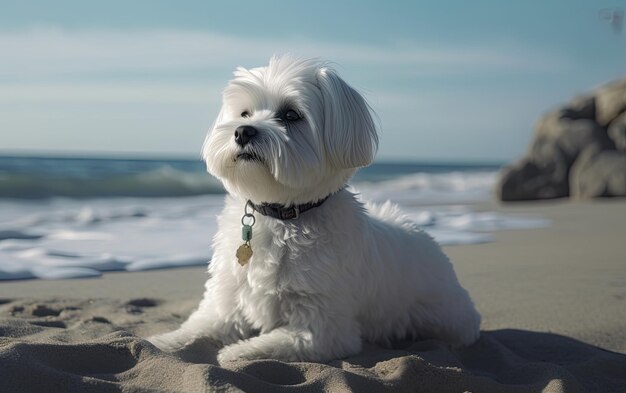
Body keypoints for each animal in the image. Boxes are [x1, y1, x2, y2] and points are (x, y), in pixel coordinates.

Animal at [149, 55, 480, 362]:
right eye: (244, 113)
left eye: (290, 114)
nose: (243, 131)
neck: (282, 215)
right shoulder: (226, 300)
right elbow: (195, 328)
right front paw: (159, 342)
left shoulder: (322, 327)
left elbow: (274, 342)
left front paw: (236, 352)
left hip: (447, 317)